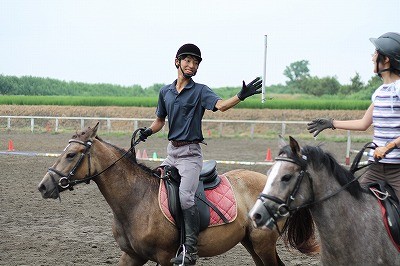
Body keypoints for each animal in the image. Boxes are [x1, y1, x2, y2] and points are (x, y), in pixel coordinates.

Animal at [36, 124, 282, 266]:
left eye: (71, 154)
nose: (44, 186)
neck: (137, 200)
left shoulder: (165, 258)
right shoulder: (132, 256)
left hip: (263, 244)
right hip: (251, 243)